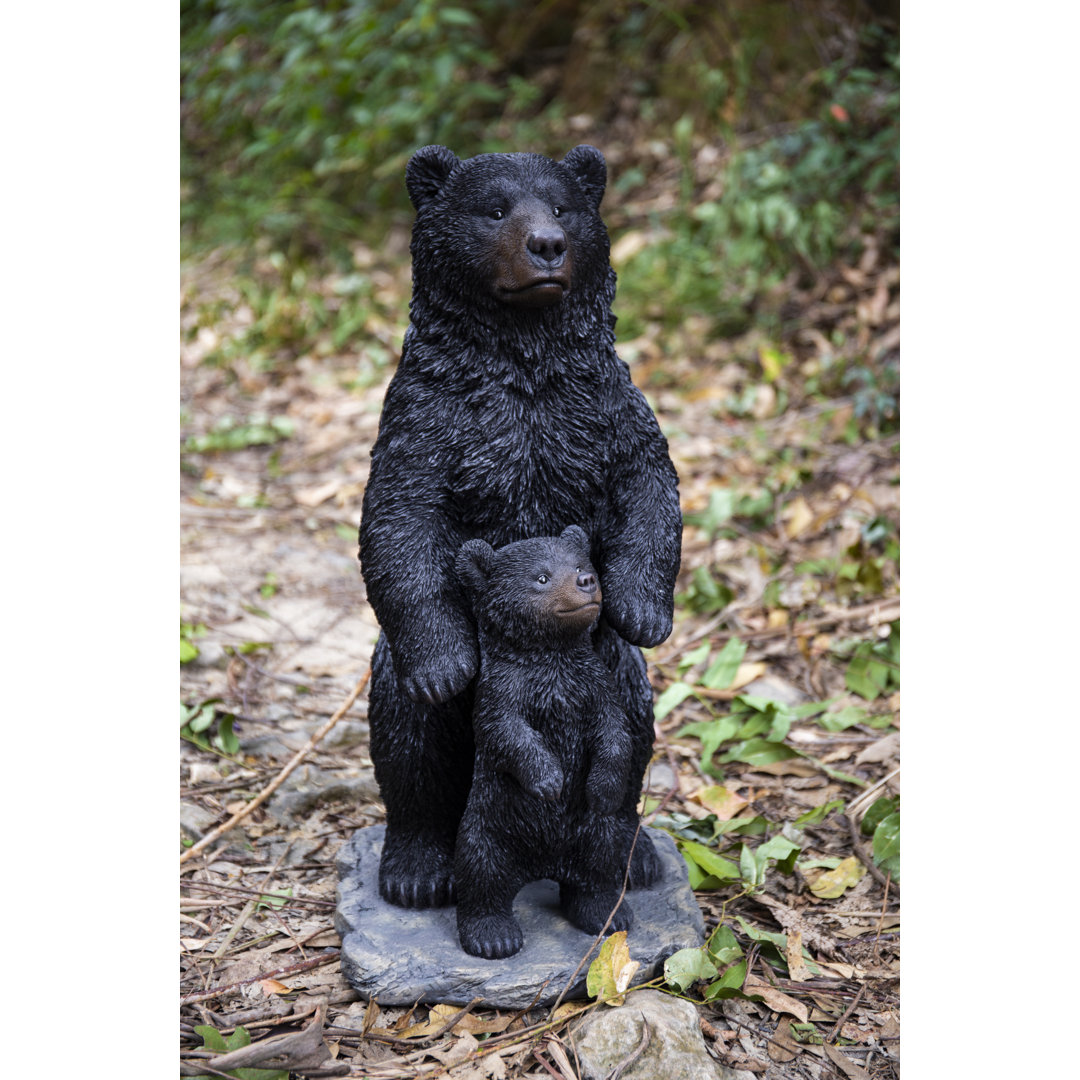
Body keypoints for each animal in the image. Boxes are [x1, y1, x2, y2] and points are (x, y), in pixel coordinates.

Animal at [358, 144, 682, 910]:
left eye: (563, 205)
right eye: (495, 207)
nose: (548, 244)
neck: (523, 361)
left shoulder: (602, 405)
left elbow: (650, 484)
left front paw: (644, 609)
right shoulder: (429, 416)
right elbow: (399, 515)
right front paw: (444, 668)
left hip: (608, 671)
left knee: (633, 724)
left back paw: (635, 856)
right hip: (411, 676)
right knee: (410, 737)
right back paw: (417, 868)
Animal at [453, 526, 635, 959]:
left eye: (584, 563)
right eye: (541, 577)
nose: (586, 581)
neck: (550, 656)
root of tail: (542, 868)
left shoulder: (592, 683)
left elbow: (615, 728)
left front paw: (604, 788)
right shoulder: (504, 688)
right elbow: (505, 730)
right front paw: (549, 780)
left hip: (591, 830)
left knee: (600, 862)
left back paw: (606, 913)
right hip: (491, 823)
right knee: (480, 869)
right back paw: (493, 935)